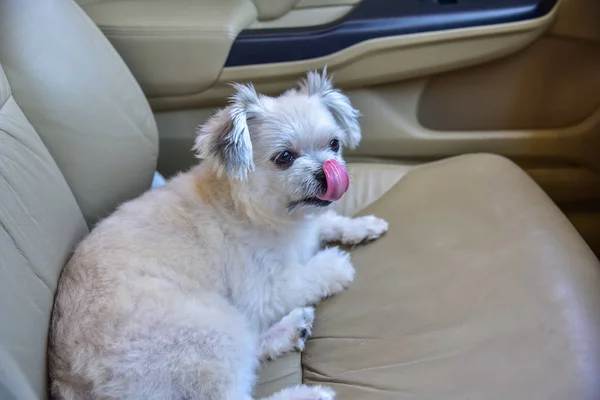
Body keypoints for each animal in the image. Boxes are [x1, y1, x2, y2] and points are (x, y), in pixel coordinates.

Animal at [50, 71, 390, 400]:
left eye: (334, 144)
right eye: (284, 157)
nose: (327, 170)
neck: (256, 210)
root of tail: (70, 384)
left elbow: (328, 221)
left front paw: (362, 225)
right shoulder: (265, 291)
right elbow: (308, 275)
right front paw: (335, 265)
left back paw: (291, 329)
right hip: (212, 330)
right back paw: (306, 392)